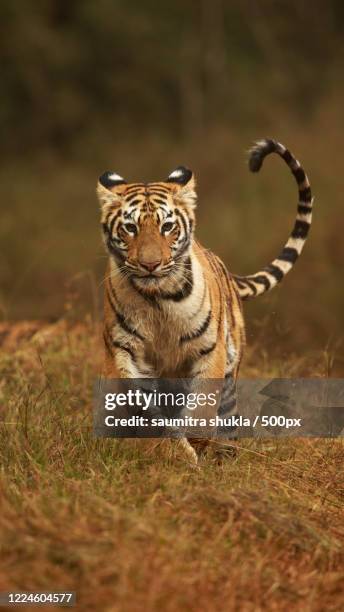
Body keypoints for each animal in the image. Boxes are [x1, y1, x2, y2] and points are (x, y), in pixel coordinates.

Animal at [96, 139, 312, 462]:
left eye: (167, 226)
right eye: (130, 228)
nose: (150, 264)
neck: (158, 299)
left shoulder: (209, 349)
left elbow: (201, 408)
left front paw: (193, 446)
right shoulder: (125, 352)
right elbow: (145, 410)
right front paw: (174, 452)